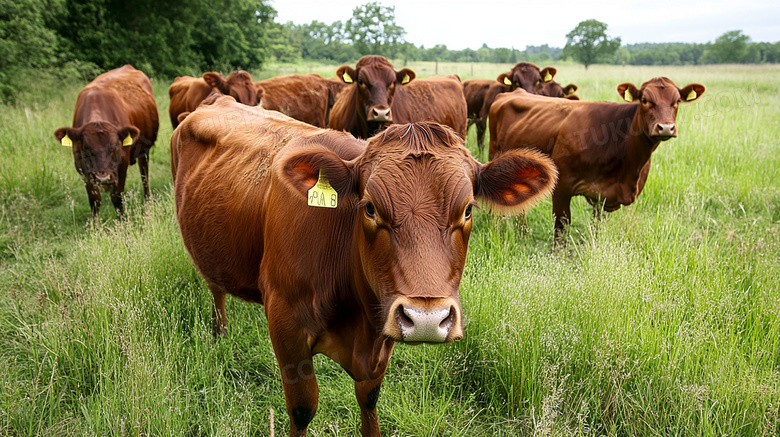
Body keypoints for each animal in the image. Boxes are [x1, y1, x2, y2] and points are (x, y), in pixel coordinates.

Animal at [53, 64, 158, 218]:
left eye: (114, 147)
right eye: (85, 148)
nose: (103, 178)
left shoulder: (121, 166)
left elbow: (117, 198)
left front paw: (122, 221)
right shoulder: (83, 169)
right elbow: (94, 200)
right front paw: (95, 223)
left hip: (144, 151)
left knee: (144, 174)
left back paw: (147, 200)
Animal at [174, 96, 556, 436]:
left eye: (467, 210)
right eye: (370, 207)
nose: (427, 319)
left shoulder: (382, 328)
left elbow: (369, 397)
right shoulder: (285, 322)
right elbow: (303, 408)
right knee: (215, 288)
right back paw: (220, 333)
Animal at [490, 79, 704, 242]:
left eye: (677, 101)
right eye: (645, 100)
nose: (666, 127)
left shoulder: (601, 195)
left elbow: (597, 226)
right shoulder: (562, 188)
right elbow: (561, 228)